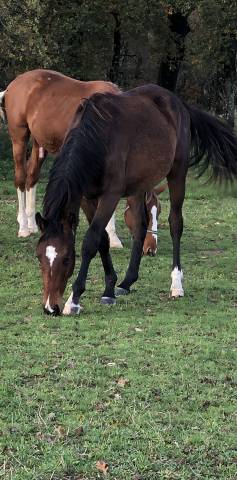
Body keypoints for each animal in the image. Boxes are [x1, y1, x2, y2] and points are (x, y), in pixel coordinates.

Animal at [0, 67, 122, 246]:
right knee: (21, 179)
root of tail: (13, 85)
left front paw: (112, 237)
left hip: (39, 142)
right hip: (19, 137)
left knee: (32, 177)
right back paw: (23, 227)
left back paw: (32, 224)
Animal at [35, 83, 237, 316]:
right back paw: (127, 282)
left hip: (177, 174)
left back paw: (176, 284)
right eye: (39, 256)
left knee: (176, 224)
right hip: (140, 185)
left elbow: (90, 241)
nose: (50, 307)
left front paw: (74, 299)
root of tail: (178, 103)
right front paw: (110, 289)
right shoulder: (86, 197)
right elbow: (103, 239)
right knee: (140, 227)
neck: (97, 138)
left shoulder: (110, 196)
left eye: (67, 257)